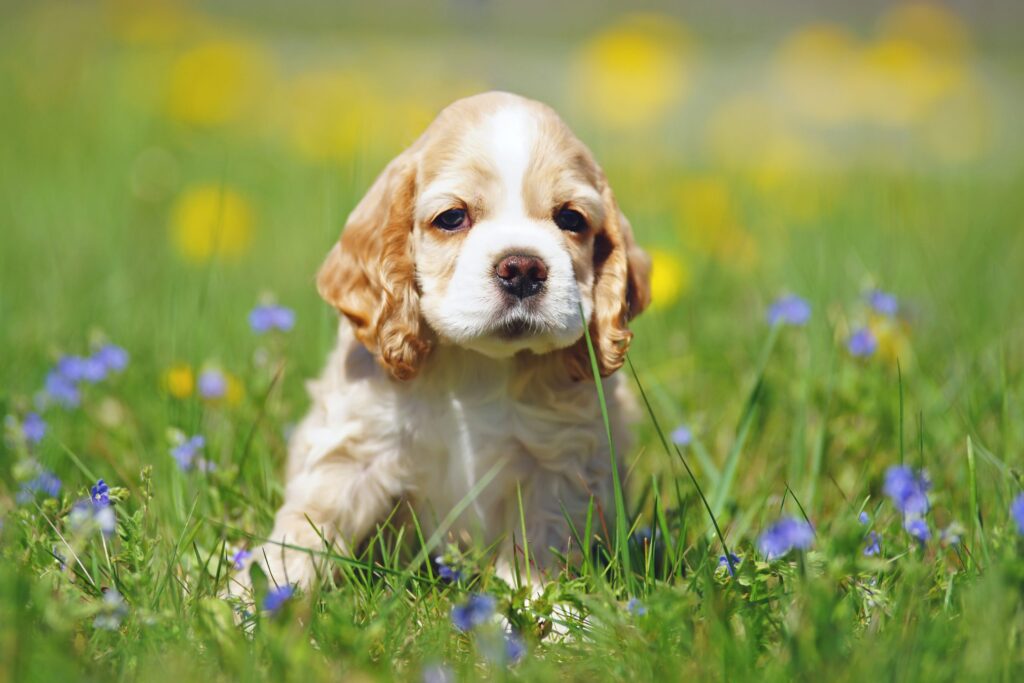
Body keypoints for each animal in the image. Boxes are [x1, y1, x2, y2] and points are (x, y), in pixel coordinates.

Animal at [236, 90, 651, 593]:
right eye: (452, 217)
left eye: (570, 218)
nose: (523, 268)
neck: (476, 365)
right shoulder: (357, 447)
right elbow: (308, 526)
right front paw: (259, 597)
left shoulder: (559, 461)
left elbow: (540, 542)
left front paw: (540, 606)